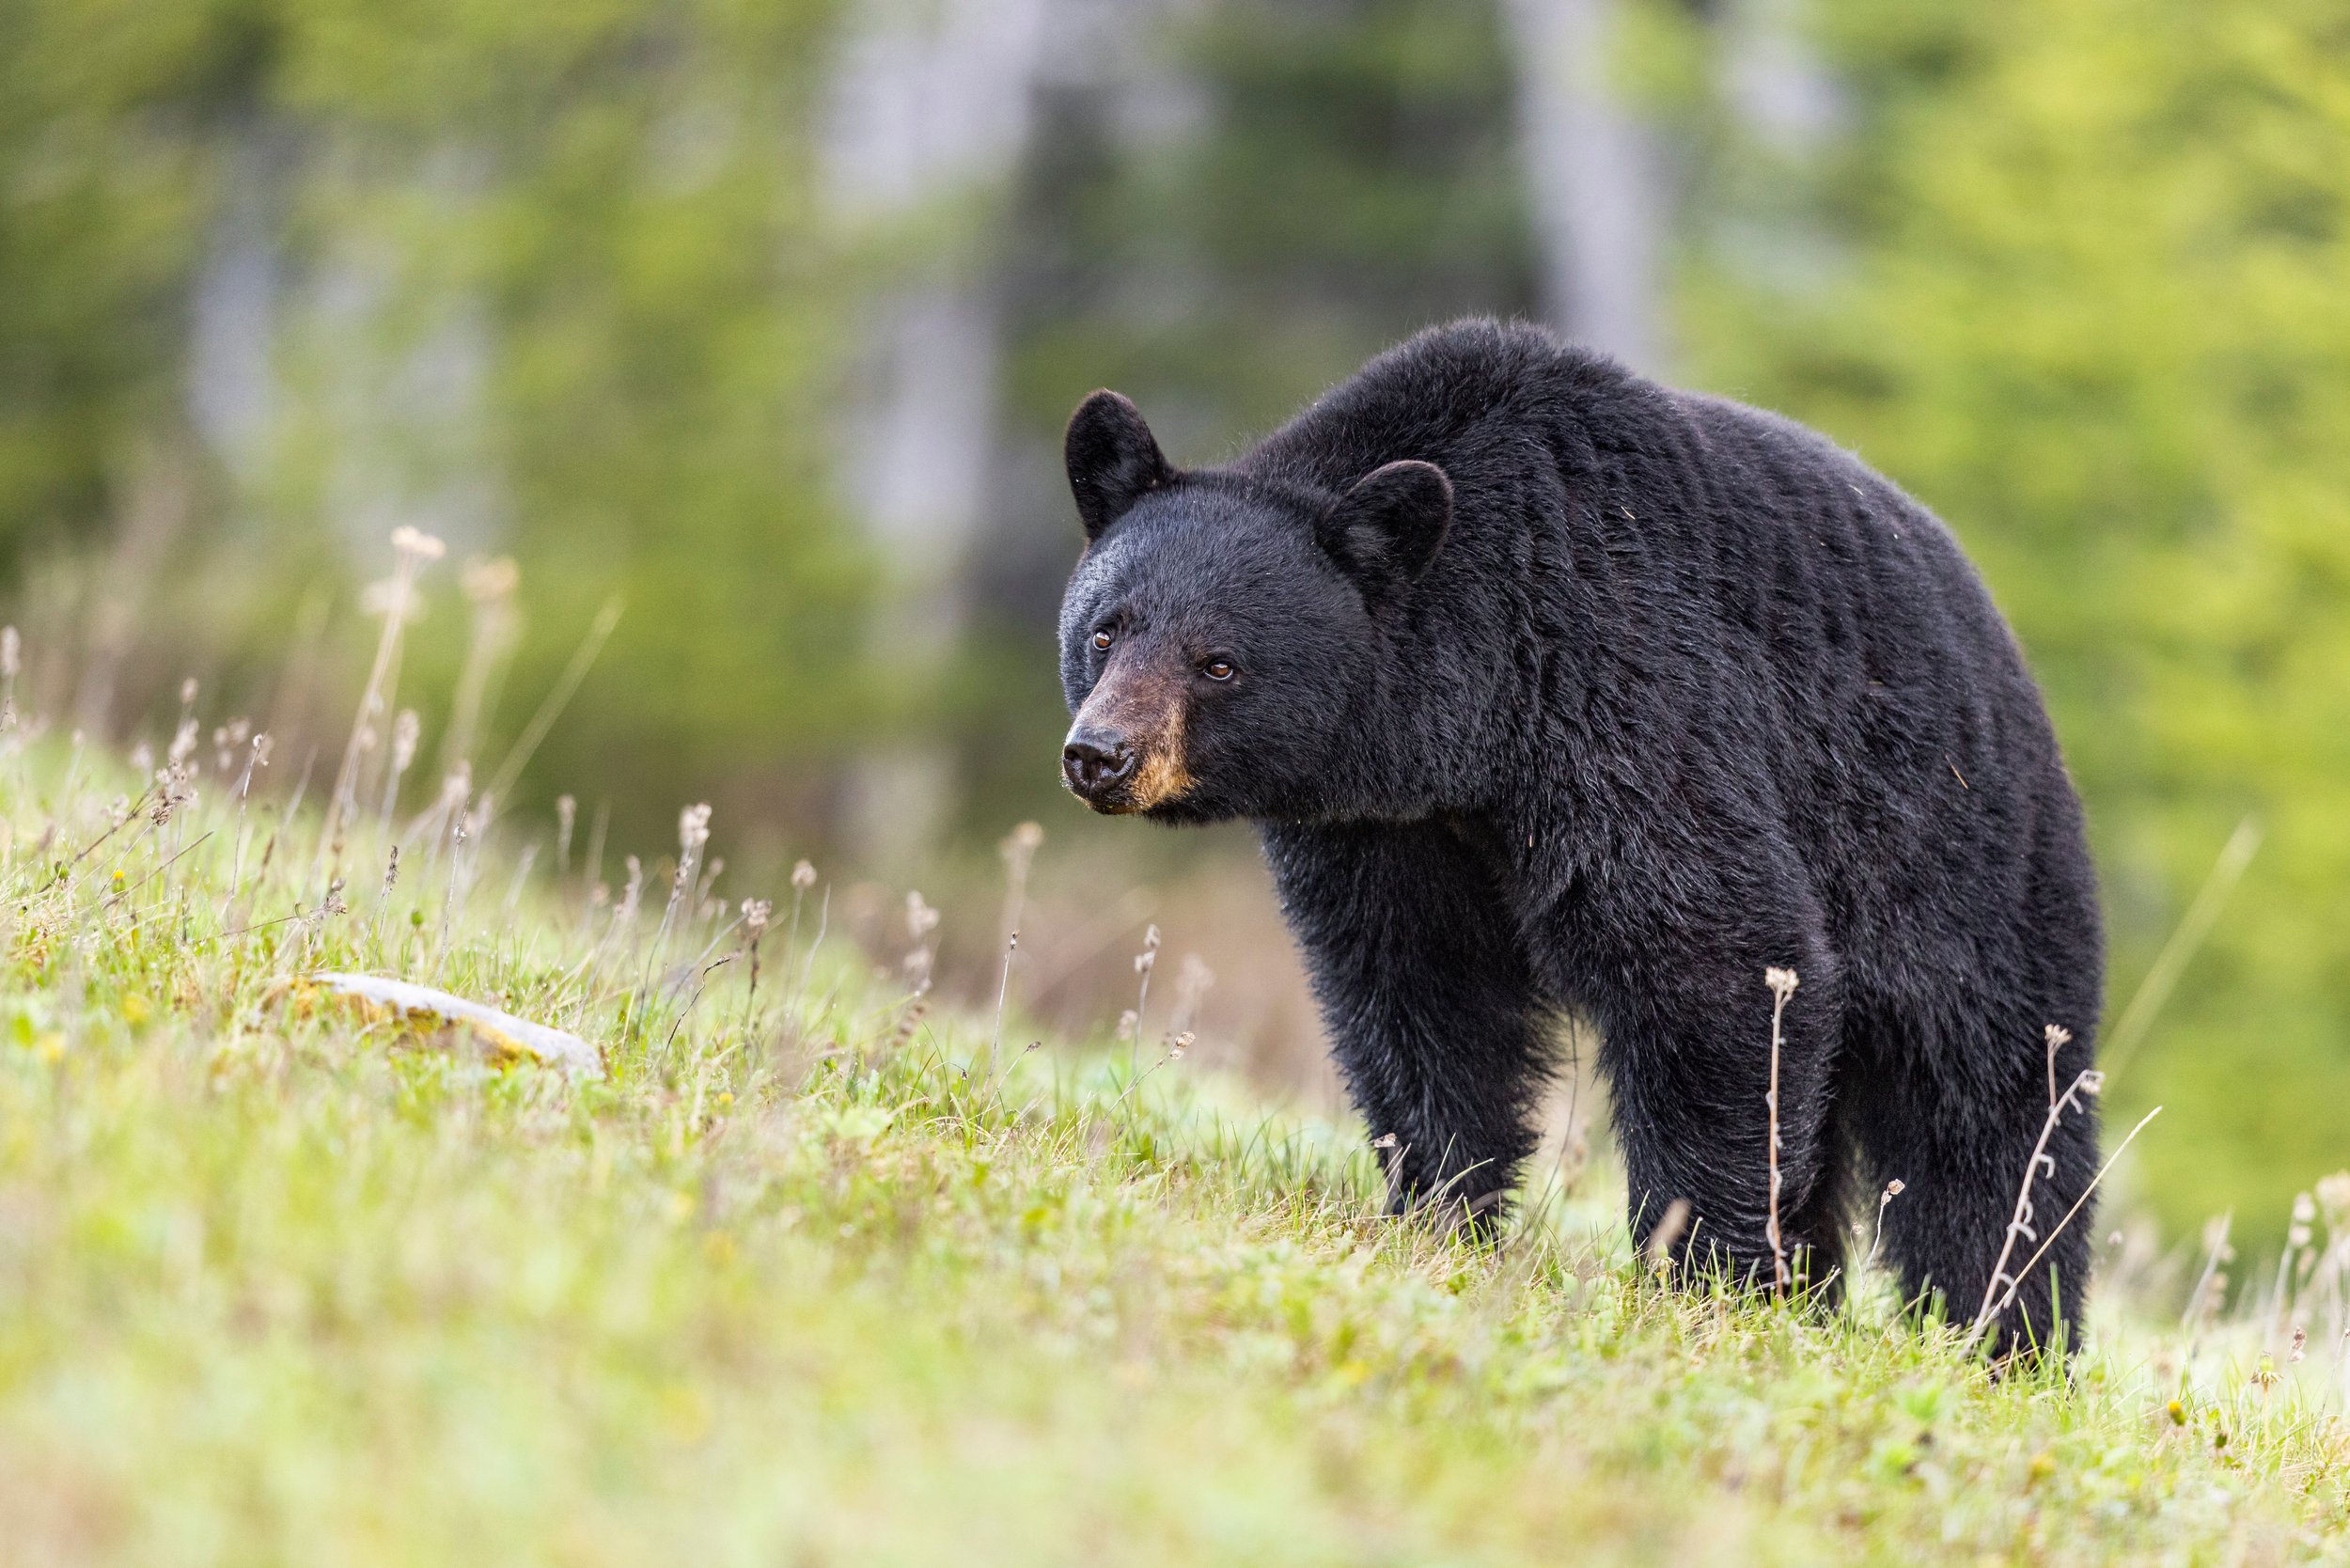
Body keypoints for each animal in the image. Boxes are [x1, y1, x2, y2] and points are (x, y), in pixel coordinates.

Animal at [1054, 318, 2104, 1355]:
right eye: (1107, 630)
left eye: (1218, 661)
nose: (1100, 755)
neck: (1474, 722)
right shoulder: (1388, 832)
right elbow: (1419, 998)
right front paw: (1437, 1209)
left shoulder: (1628, 693)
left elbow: (1717, 964)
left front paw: (1699, 1274)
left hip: (1954, 860)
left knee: (1990, 1106)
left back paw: (2006, 1330)